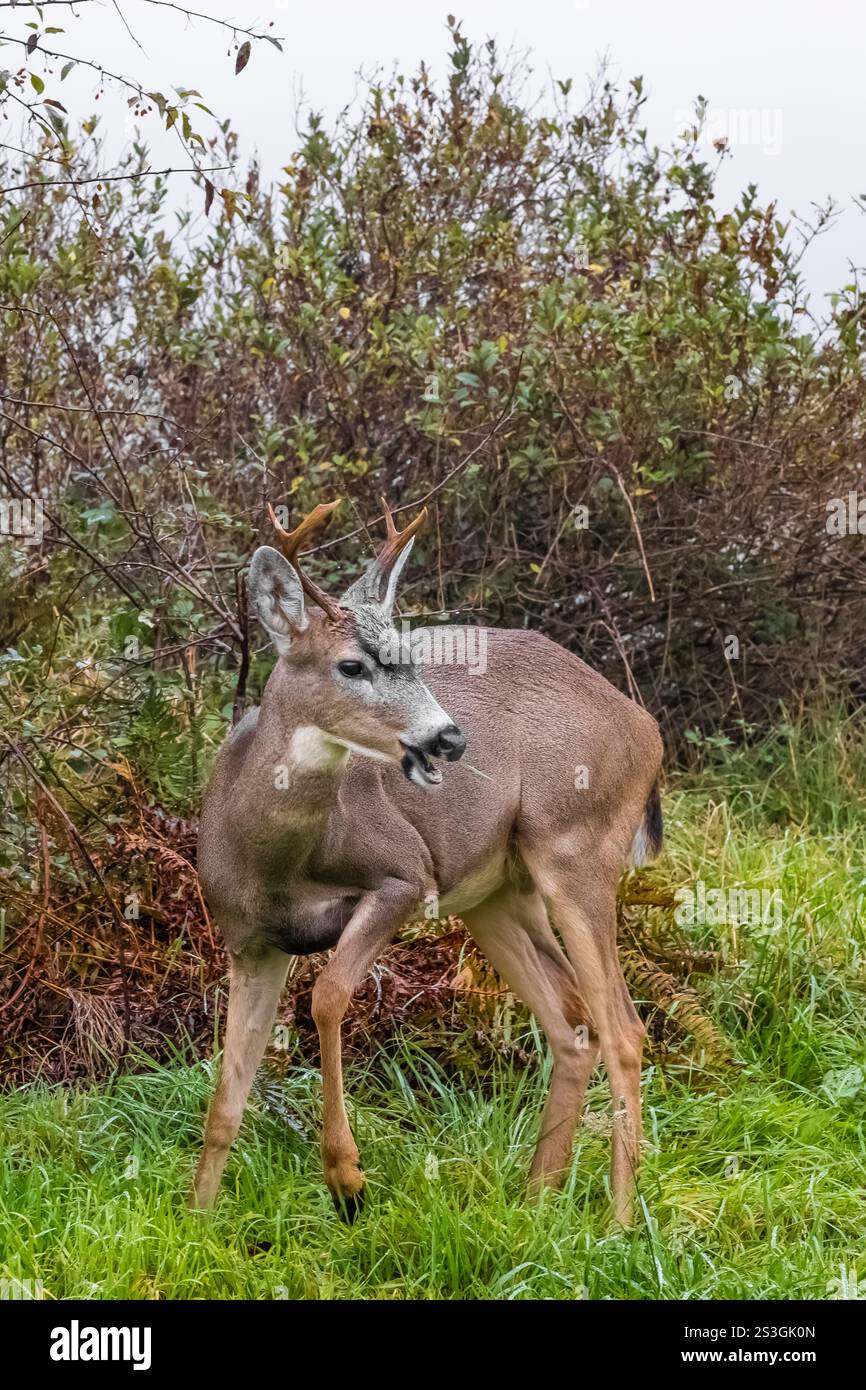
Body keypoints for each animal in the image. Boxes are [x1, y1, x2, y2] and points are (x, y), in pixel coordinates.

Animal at [191, 497, 664, 1217]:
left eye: (409, 659)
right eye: (351, 665)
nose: (448, 737)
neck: (273, 860)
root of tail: (649, 727)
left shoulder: (403, 874)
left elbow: (327, 996)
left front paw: (347, 1177)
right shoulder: (249, 940)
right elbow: (227, 1098)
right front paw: (197, 1218)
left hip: (576, 850)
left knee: (625, 1029)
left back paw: (617, 1221)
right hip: (496, 893)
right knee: (572, 1021)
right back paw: (536, 1200)